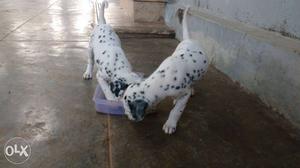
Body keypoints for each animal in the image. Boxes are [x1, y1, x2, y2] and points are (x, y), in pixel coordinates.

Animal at [121, 7, 209, 135]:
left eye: (128, 108)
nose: (126, 115)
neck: (163, 79)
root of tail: (189, 39)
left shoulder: (185, 94)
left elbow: (176, 111)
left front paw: (170, 124)